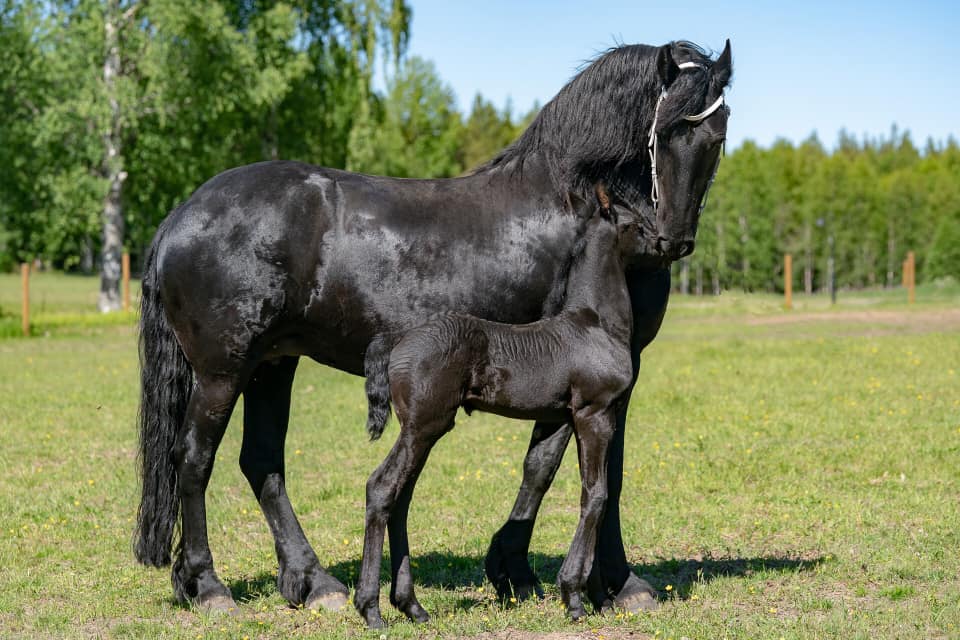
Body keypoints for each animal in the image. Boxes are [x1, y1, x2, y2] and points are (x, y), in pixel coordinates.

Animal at [354, 199, 652, 624]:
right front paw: (574, 597)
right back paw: (371, 609)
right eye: (636, 226)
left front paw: (600, 598)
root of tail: (397, 339)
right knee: (381, 487)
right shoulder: (595, 414)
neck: (595, 325)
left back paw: (412, 606)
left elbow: (568, 482)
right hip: (423, 426)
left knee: (401, 499)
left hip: (420, 431)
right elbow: (596, 495)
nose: (667, 243)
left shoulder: (560, 421)